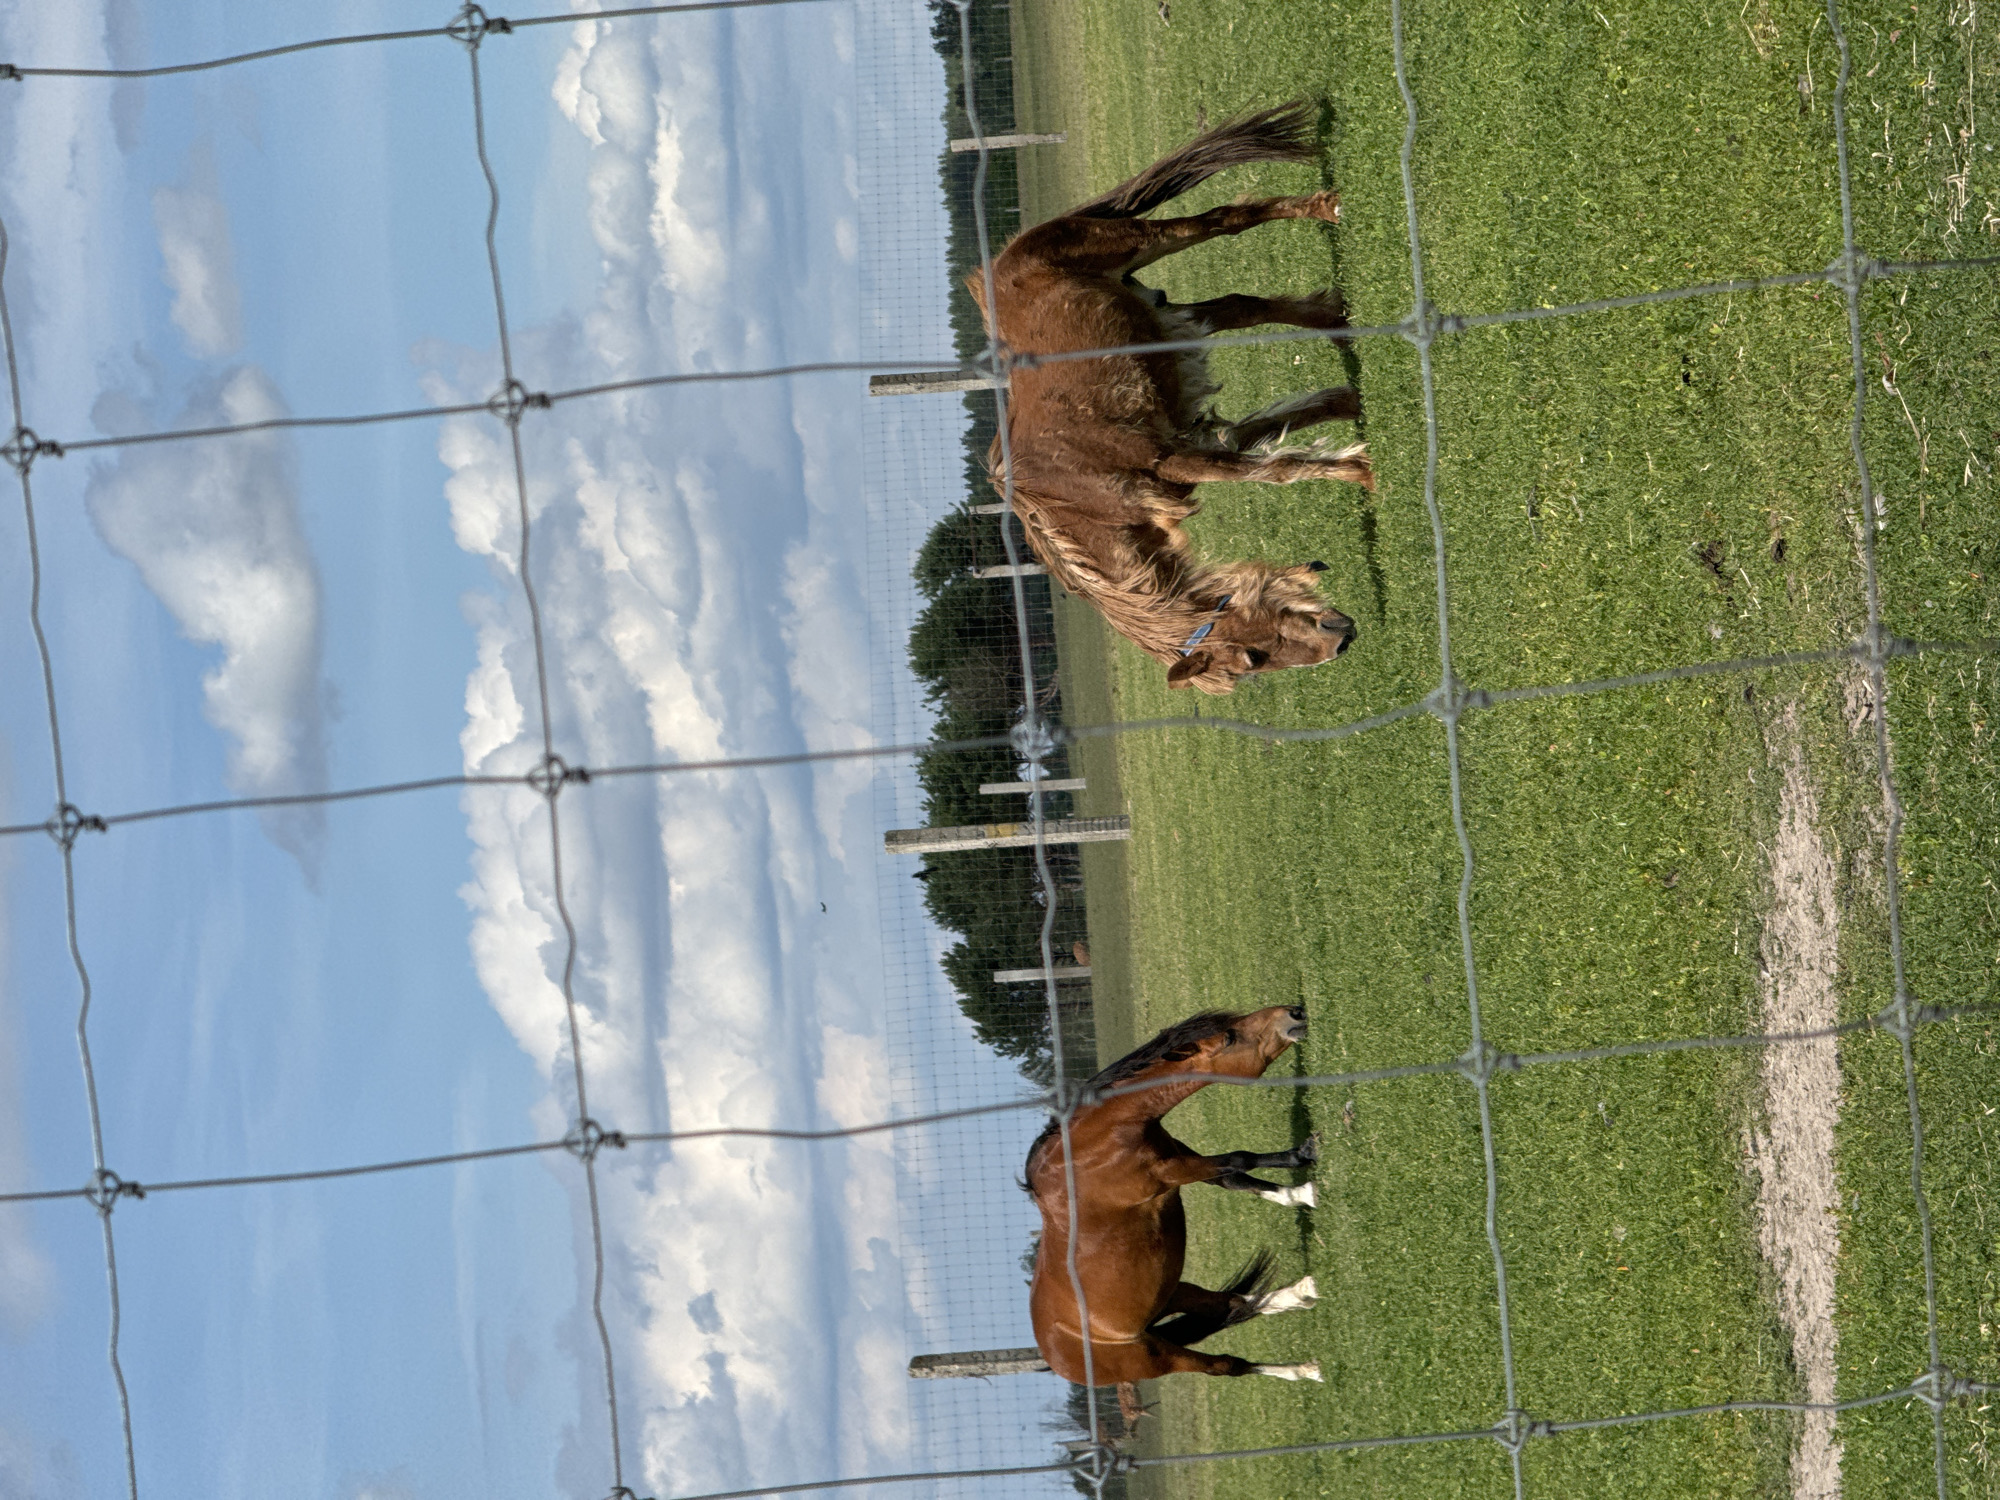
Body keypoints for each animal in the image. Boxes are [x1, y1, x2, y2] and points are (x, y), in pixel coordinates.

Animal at [966, 101, 1370, 696]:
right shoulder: (1190, 441)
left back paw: (1329, 208)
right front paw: (1352, 412)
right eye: (1253, 660)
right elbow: (1278, 430)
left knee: (1227, 219)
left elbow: (1275, 469)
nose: (1339, 640)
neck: (1078, 500)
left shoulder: (1172, 455)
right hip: (1168, 316)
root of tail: (1006, 257)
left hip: (1143, 240)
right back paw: (1336, 319)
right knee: (1244, 304)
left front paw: (1364, 473)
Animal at [1025, 1007, 1323, 1388]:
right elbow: (1238, 1160)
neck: (1094, 1143)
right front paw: (1307, 1180)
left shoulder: (1178, 1154)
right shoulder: (1170, 1173)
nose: (1294, 1013)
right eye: (1229, 1038)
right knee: (1227, 1363)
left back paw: (1302, 1295)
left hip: (1170, 1293)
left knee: (1233, 1303)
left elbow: (1235, 1177)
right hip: (1157, 1357)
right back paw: (1301, 1367)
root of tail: (1057, 1358)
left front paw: (1302, 1172)